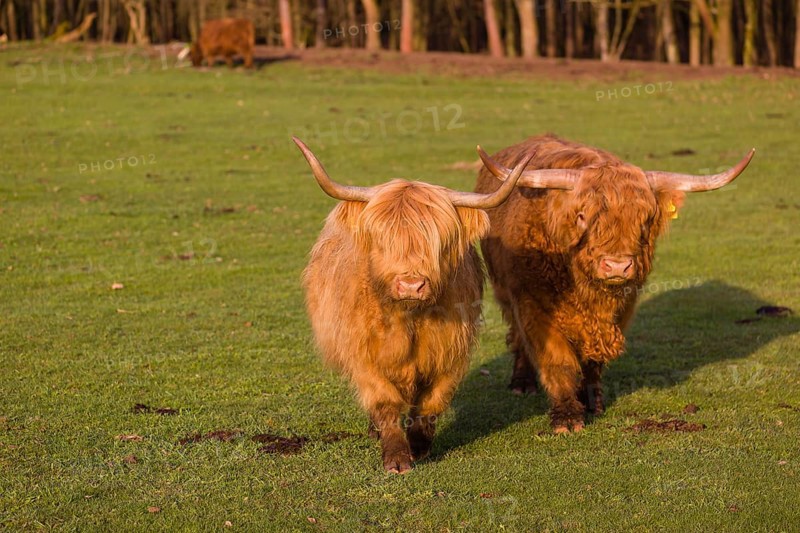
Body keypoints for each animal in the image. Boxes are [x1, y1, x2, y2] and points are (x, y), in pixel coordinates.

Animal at [295, 137, 531, 473]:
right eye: (382, 238)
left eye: (439, 240)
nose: (411, 285)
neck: (409, 318)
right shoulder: (363, 354)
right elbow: (384, 400)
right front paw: (397, 457)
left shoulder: (450, 353)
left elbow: (433, 401)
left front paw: (419, 446)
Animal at [475, 135, 754, 434]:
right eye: (582, 215)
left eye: (645, 219)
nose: (617, 266)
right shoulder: (532, 303)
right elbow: (557, 361)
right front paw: (567, 417)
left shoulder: (620, 308)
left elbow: (593, 362)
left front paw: (592, 402)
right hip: (505, 292)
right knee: (517, 337)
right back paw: (522, 383)